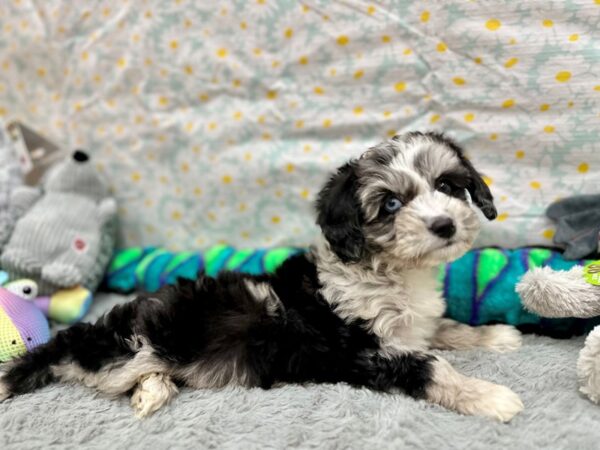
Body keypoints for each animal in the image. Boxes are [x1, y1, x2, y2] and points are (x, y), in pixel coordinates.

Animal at [0, 132, 524, 420]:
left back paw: (154, 391)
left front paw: (494, 336)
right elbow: (429, 364)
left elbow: (443, 327)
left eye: (447, 185)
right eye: (392, 204)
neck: (390, 271)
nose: (445, 225)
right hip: (133, 347)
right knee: (100, 370)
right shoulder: (359, 350)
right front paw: (489, 396)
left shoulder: (414, 324)